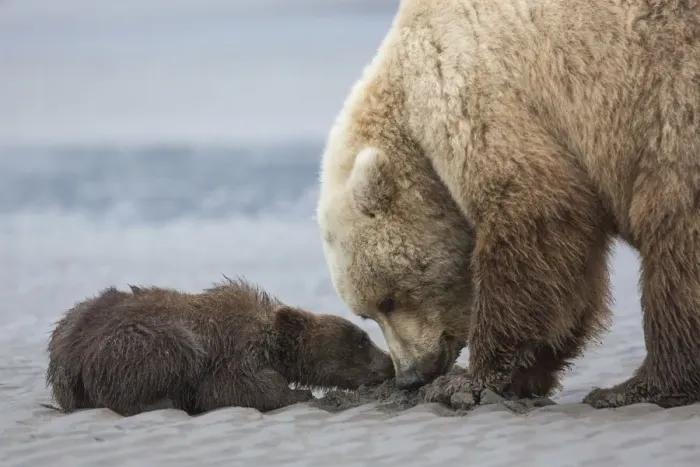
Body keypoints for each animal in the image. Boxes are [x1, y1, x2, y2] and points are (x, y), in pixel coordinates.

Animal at [45, 277, 394, 416]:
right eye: (363, 338)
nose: (389, 363)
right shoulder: (231, 348)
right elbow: (233, 387)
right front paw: (299, 393)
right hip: (133, 343)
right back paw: (163, 402)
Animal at [316, 0, 700, 409]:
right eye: (365, 313)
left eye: (388, 300)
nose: (410, 375)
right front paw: (527, 372)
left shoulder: (476, 90)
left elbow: (534, 217)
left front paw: (470, 380)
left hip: (669, 101)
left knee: (674, 235)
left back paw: (640, 386)